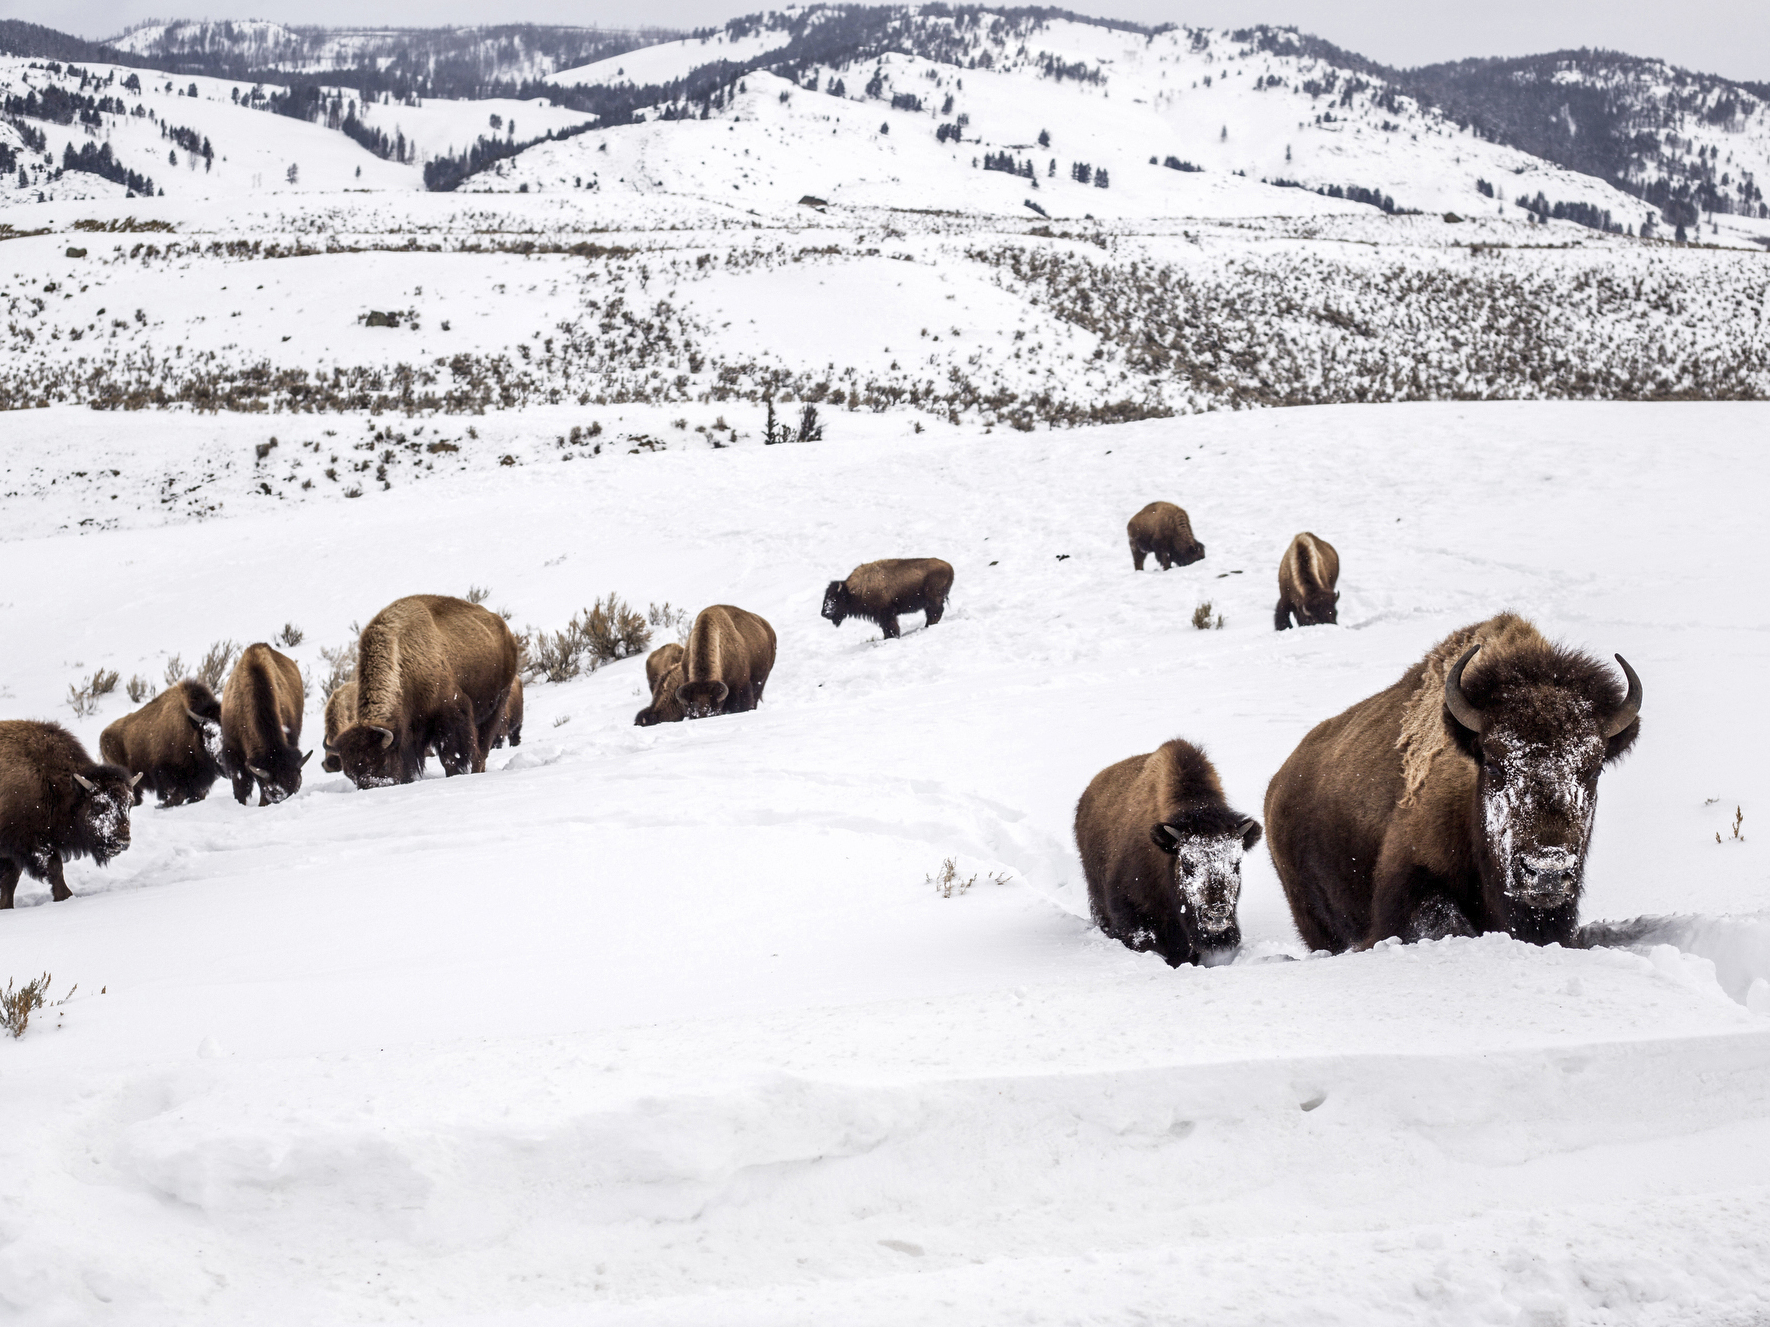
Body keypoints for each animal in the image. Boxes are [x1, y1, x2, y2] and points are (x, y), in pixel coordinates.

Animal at [0, 720, 139, 909]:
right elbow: (54, 866)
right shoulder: (29, 842)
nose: (122, 842)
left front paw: (6, 906)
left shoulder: (14, 852)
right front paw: (66, 896)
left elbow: (11, 879)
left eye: (129, 804)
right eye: (97, 805)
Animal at [332, 595, 519, 787]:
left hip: (497, 705)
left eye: (384, 764)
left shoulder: (450, 714)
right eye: (350, 775)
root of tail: (504, 629)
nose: (371, 787)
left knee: (482, 749)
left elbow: (450, 757)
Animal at [636, 605, 775, 725]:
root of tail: (767, 627)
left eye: (712, 712)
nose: (702, 715)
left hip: (762, 680)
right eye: (694, 714)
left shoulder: (740, 686)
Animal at [821, 558, 955, 639]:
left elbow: (890, 627)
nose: (824, 613)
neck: (852, 590)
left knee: (935, 614)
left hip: (933, 600)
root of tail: (949, 567)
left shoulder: (887, 614)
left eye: (834, 599)